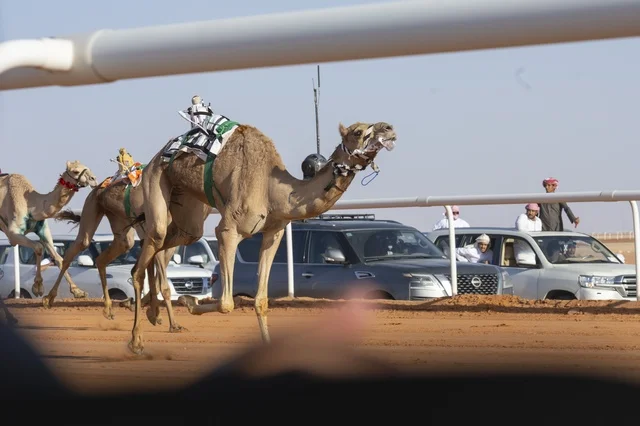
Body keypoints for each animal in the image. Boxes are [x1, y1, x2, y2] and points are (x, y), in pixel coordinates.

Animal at [0, 161, 98, 298]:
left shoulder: (43, 230)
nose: (94, 179)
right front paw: (38, 287)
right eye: (75, 171)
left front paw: (78, 291)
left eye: (87, 167)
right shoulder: (12, 234)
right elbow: (38, 247)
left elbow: (59, 259)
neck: (31, 205)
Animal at [42, 172, 211, 332]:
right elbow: (161, 282)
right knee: (75, 249)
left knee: (105, 256)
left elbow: (152, 275)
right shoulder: (155, 235)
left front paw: (154, 314)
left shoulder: (163, 242)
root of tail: (97, 189)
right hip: (92, 207)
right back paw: (51, 298)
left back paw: (109, 309)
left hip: (119, 225)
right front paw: (172, 324)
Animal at [126, 118, 397, 354]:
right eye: (358, 131)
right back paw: (136, 341)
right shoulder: (228, 231)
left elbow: (261, 300)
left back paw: (154, 314)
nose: (389, 128)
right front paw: (190, 302)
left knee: (166, 244)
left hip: (189, 211)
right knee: (148, 251)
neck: (272, 190)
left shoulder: (273, 233)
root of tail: (157, 156)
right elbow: (227, 303)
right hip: (155, 180)